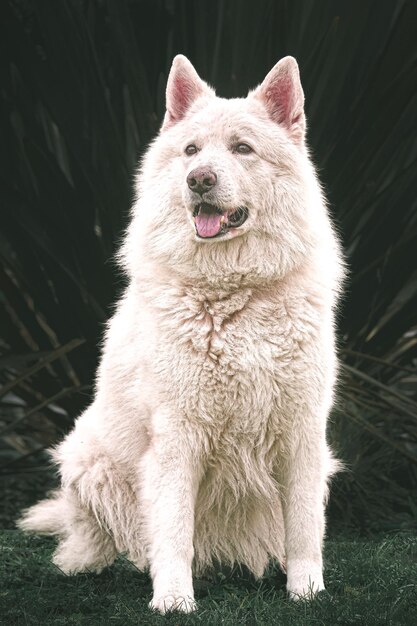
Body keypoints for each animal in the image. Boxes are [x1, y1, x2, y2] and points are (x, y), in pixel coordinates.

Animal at [18, 53, 342, 608]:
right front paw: (173, 601)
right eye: (190, 150)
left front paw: (307, 593)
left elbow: (304, 528)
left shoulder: (302, 435)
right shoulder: (176, 436)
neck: (235, 295)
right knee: (95, 541)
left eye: (242, 148)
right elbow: (172, 532)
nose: (199, 179)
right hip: (87, 459)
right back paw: (96, 563)